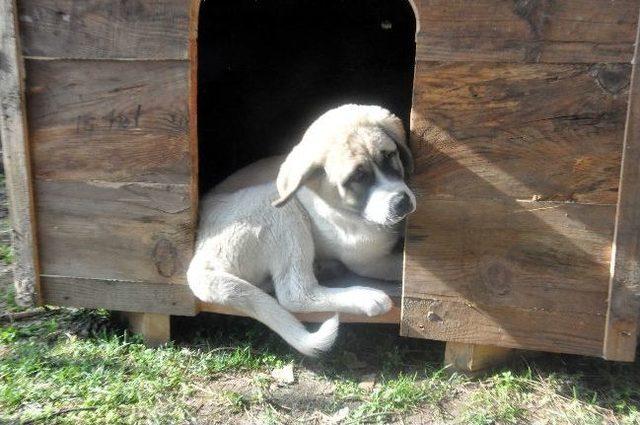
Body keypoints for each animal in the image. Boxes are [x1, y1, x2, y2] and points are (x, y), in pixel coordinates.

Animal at [185, 105, 418, 354]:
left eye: (390, 156)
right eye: (357, 178)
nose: (401, 203)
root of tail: (199, 256)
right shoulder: (370, 261)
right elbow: (400, 266)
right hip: (280, 208)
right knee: (295, 293)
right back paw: (365, 297)